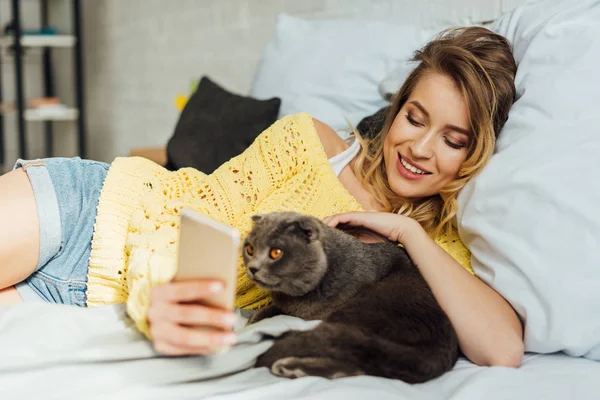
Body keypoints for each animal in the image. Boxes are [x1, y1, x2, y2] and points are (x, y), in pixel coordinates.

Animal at [244, 211, 460, 382]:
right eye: (250, 249)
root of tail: (438, 353)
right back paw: (290, 368)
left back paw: (287, 366)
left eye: (276, 252)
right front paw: (253, 321)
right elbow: (266, 311)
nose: (252, 268)